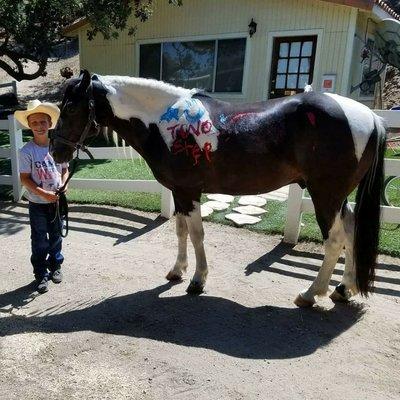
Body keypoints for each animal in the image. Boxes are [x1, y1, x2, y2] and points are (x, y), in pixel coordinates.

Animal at [50, 70, 384, 306]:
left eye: (71, 108)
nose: (55, 150)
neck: (162, 121)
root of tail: (371, 117)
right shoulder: (179, 192)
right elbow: (181, 232)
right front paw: (178, 271)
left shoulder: (189, 192)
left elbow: (197, 234)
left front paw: (197, 280)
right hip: (339, 197)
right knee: (351, 232)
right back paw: (344, 289)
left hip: (324, 195)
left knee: (335, 240)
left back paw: (311, 294)